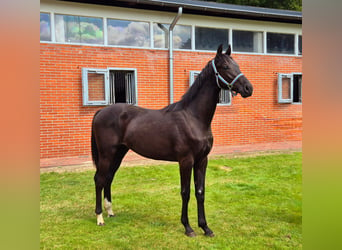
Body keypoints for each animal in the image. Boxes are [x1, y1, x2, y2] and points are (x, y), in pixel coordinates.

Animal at [92, 44, 252, 237]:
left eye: (237, 65)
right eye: (226, 67)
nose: (248, 88)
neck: (193, 118)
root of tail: (101, 111)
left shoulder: (202, 160)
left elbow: (200, 192)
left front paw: (205, 228)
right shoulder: (186, 161)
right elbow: (185, 192)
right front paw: (188, 227)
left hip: (119, 153)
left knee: (108, 178)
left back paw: (110, 212)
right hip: (107, 154)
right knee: (99, 179)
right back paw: (99, 218)